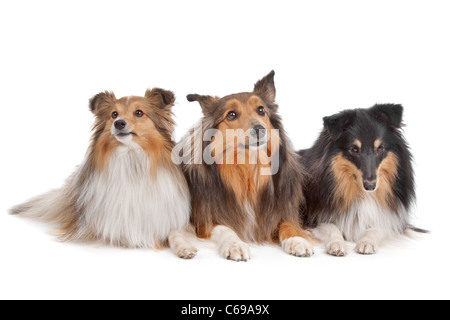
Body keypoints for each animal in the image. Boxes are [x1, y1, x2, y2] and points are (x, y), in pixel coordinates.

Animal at [10, 89, 196, 258]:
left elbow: (175, 232)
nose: (119, 123)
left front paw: (184, 248)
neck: (131, 158)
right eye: (114, 114)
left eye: (139, 113)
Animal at [175, 71, 312, 262]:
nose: (259, 129)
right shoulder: (204, 220)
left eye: (261, 110)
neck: (248, 167)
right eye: (231, 115)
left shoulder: (281, 209)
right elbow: (225, 228)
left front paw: (297, 240)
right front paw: (236, 245)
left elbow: (288, 224)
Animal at [298, 106, 426, 256]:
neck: (363, 194)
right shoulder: (312, 219)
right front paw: (337, 244)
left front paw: (366, 242)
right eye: (354, 149)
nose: (370, 186)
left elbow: (378, 227)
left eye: (380, 148)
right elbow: (331, 227)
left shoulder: (391, 221)